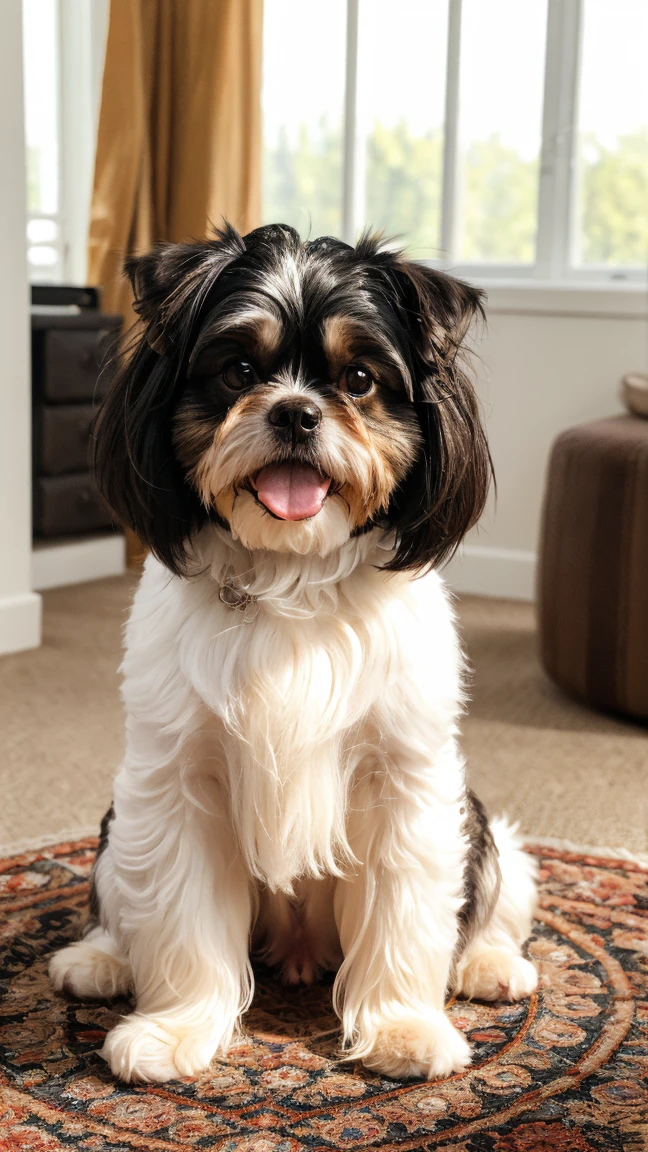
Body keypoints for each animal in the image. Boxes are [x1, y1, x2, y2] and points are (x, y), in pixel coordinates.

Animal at [49, 223, 537, 1084]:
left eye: (359, 378)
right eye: (239, 370)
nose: (297, 413)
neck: (292, 579)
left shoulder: (407, 780)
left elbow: (409, 915)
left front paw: (404, 1028)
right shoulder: (177, 781)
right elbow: (179, 919)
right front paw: (175, 1030)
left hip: (485, 826)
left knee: (488, 900)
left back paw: (489, 965)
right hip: (121, 813)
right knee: (120, 898)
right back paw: (99, 960)